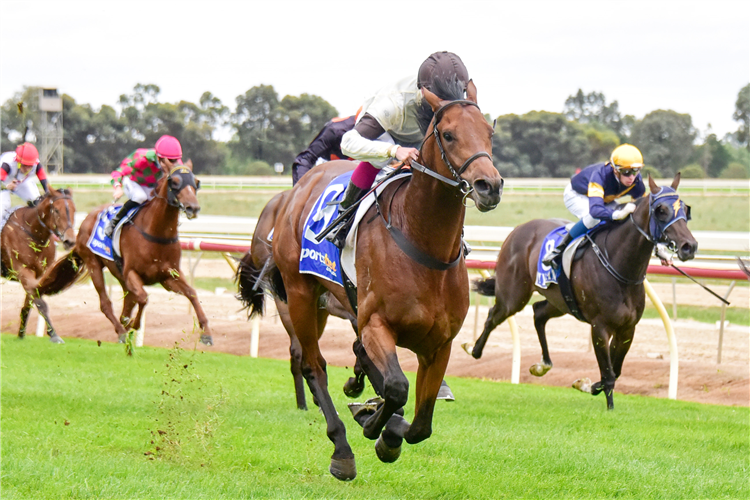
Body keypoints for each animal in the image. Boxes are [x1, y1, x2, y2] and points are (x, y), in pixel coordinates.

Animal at [0, 188, 75, 344]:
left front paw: (21, 333)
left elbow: (29, 303)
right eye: (56, 210)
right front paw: (54, 335)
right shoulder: (22, 271)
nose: (70, 241)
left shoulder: (39, 274)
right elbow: (41, 303)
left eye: (73, 210)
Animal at [36, 162, 214, 346]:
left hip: (119, 273)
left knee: (127, 303)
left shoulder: (168, 276)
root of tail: (86, 220)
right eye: (175, 181)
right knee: (106, 303)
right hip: (94, 264)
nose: (193, 207)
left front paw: (206, 333)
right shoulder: (131, 273)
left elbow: (192, 293)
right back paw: (121, 331)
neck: (157, 232)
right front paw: (134, 324)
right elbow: (143, 297)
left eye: (196, 182)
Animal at [238, 85, 502, 480]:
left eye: (489, 132)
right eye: (448, 134)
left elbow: (421, 424)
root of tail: (295, 192)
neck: (424, 243)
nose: (490, 186)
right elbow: (396, 387)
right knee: (313, 365)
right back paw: (341, 448)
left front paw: (383, 425)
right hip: (300, 295)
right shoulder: (376, 323)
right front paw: (375, 426)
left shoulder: (440, 343)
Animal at [470, 174, 700, 408]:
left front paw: (586, 384)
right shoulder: (600, 327)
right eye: (661, 210)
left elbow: (615, 371)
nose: (689, 246)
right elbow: (608, 375)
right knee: (494, 316)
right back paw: (474, 349)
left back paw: (543, 364)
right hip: (514, 295)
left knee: (538, 313)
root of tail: (518, 229)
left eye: (685, 209)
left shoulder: (627, 329)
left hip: (560, 301)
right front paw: (608, 407)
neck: (620, 267)